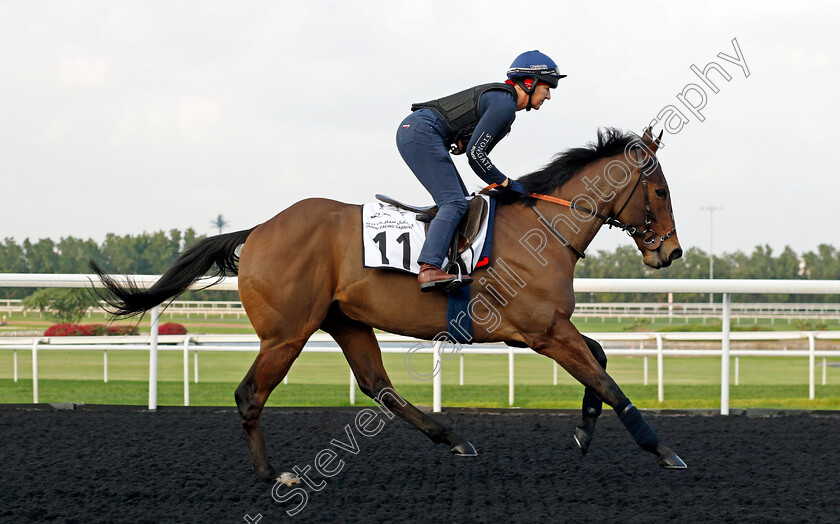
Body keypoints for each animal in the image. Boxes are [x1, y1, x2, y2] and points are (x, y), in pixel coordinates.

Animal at [92, 125, 684, 482]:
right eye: (659, 191)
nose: (671, 251)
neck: (542, 227)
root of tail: (257, 230)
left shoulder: (544, 329)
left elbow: (600, 361)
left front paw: (584, 431)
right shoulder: (542, 330)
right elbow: (608, 380)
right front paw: (662, 449)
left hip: (346, 322)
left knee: (378, 385)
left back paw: (453, 439)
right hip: (286, 333)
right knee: (249, 395)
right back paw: (272, 475)